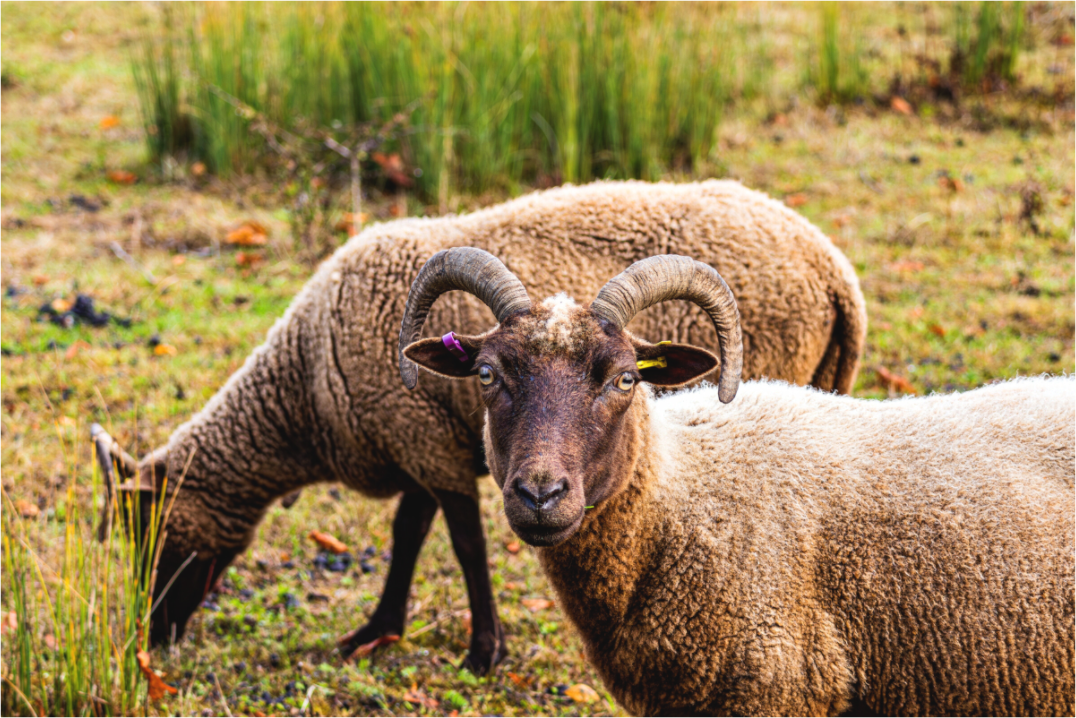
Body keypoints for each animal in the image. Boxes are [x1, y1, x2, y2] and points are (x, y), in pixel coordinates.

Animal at [94, 179, 866, 674]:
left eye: (153, 532)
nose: (154, 636)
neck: (302, 390)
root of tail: (835, 272)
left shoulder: (427, 447)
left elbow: (463, 545)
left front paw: (483, 652)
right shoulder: (418, 440)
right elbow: (408, 534)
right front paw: (376, 631)